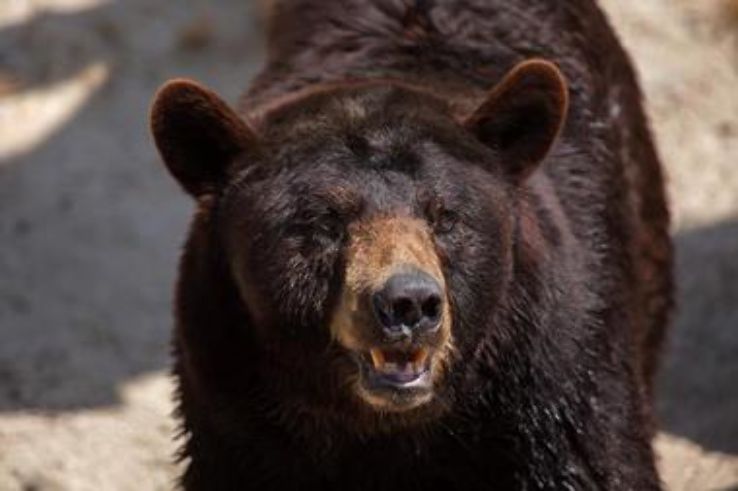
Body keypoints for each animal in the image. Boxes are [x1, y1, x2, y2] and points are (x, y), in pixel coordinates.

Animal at [150, 0, 673, 489]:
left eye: (445, 216)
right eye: (324, 223)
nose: (409, 303)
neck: (393, 427)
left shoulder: (556, 383)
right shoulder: (233, 409)